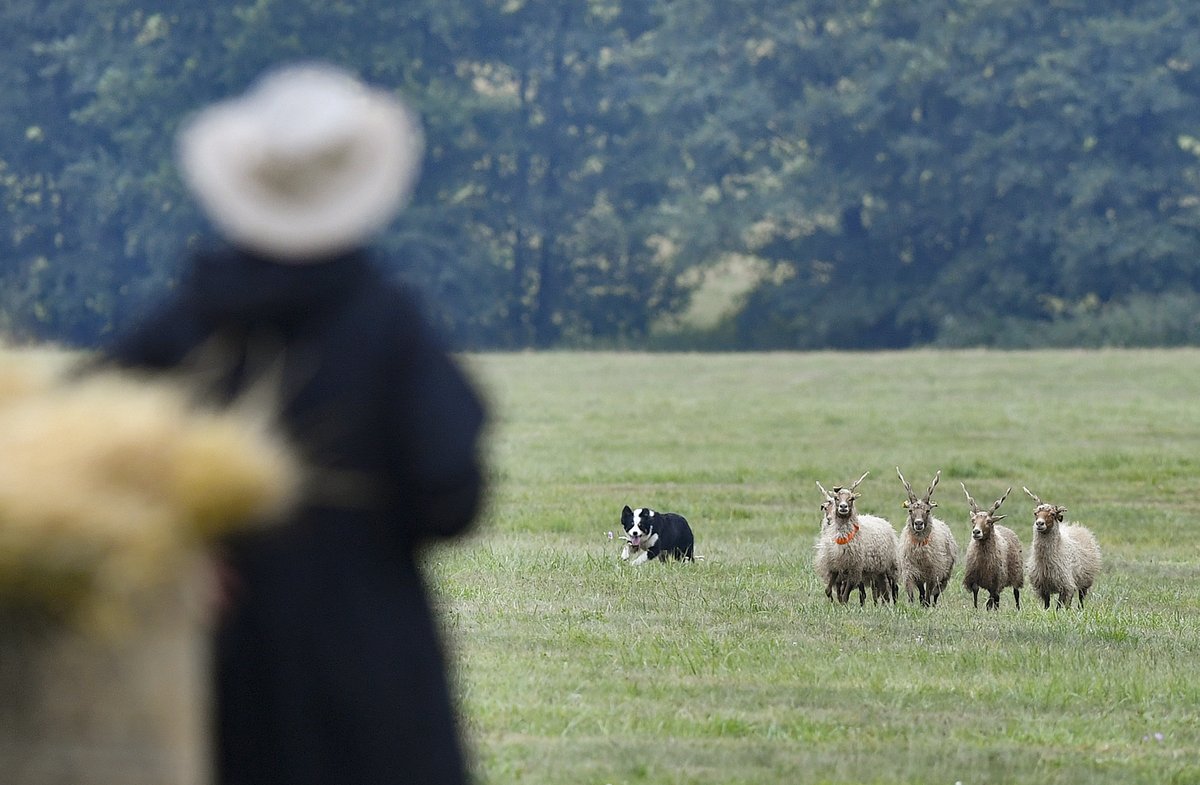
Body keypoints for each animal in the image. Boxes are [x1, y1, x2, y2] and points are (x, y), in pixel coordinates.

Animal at [816, 472, 902, 609]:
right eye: (836, 498)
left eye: (851, 499)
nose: (843, 507)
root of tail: (884, 521)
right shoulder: (835, 566)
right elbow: (830, 591)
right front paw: (834, 603)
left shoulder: (855, 569)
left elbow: (846, 595)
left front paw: (844, 607)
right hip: (878, 571)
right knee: (883, 590)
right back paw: (884, 605)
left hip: (891, 566)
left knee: (893, 588)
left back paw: (893, 605)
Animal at [897, 468, 960, 609]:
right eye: (910, 510)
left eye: (927, 511)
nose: (918, 523)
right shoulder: (910, 572)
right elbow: (914, 594)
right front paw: (913, 606)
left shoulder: (933, 574)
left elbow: (928, 595)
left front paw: (926, 606)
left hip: (944, 575)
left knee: (935, 594)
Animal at [955, 484, 1022, 614]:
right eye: (973, 520)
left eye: (989, 521)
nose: (976, 532)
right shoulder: (974, 577)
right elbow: (976, 592)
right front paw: (976, 609)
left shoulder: (995, 581)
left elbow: (992, 596)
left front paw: (989, 608)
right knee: (996, 597)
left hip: (1016, 573)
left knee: (1015, 593)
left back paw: (1017, 609)